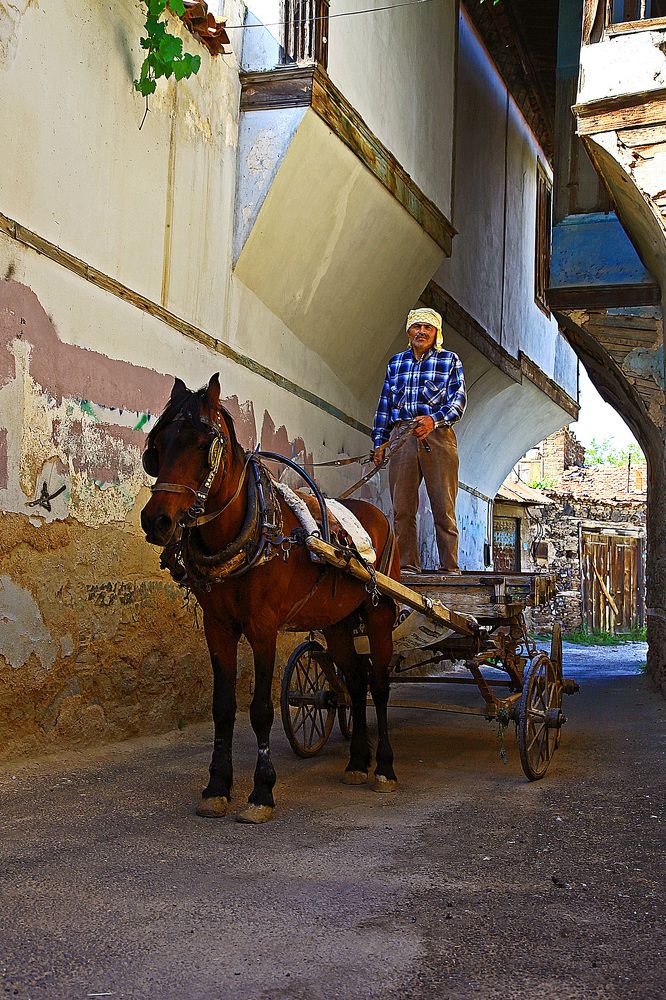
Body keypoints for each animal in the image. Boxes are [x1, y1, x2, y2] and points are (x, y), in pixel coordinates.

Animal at [140, 373, 401, 823]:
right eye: (157, 446)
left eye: (203, 444)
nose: (156, 521)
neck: (248, 527)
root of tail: (377, 515)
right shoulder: (218, 628)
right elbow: (223, 707)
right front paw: (216, 787)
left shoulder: (263, 627)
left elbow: (261, 709)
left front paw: (261, 792)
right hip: (336, 622)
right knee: (354, 679)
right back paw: (356, 762)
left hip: (380, 612)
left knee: (379, 685)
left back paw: (383, 767)